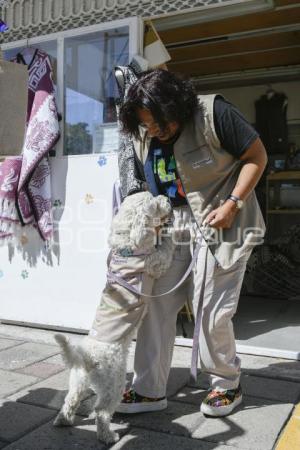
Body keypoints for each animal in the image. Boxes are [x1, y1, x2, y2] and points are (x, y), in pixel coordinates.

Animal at [53, 192, 173, 444]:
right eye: (154, 202)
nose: (167, 197)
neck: (127, 247)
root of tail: (86, 357)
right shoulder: (154, 262)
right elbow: (164, 251)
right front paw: (172, 232)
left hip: (78, 381)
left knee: (70, 400)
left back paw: (63, 421)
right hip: (113, 384)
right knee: (100, 411)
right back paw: (108, 436)